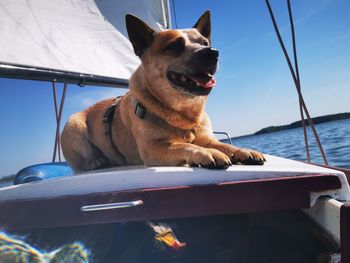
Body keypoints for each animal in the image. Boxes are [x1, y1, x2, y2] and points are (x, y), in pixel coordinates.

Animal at [60, 11, 266, 172]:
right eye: (174, 46)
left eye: (205, 42)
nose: (212, 52)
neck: (183, 110)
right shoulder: (153, 148)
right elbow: (182, 145)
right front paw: (206, 153)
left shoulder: (205, 137)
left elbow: (222, 144)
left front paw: (243, 151)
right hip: (73, 125)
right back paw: (96, 162)